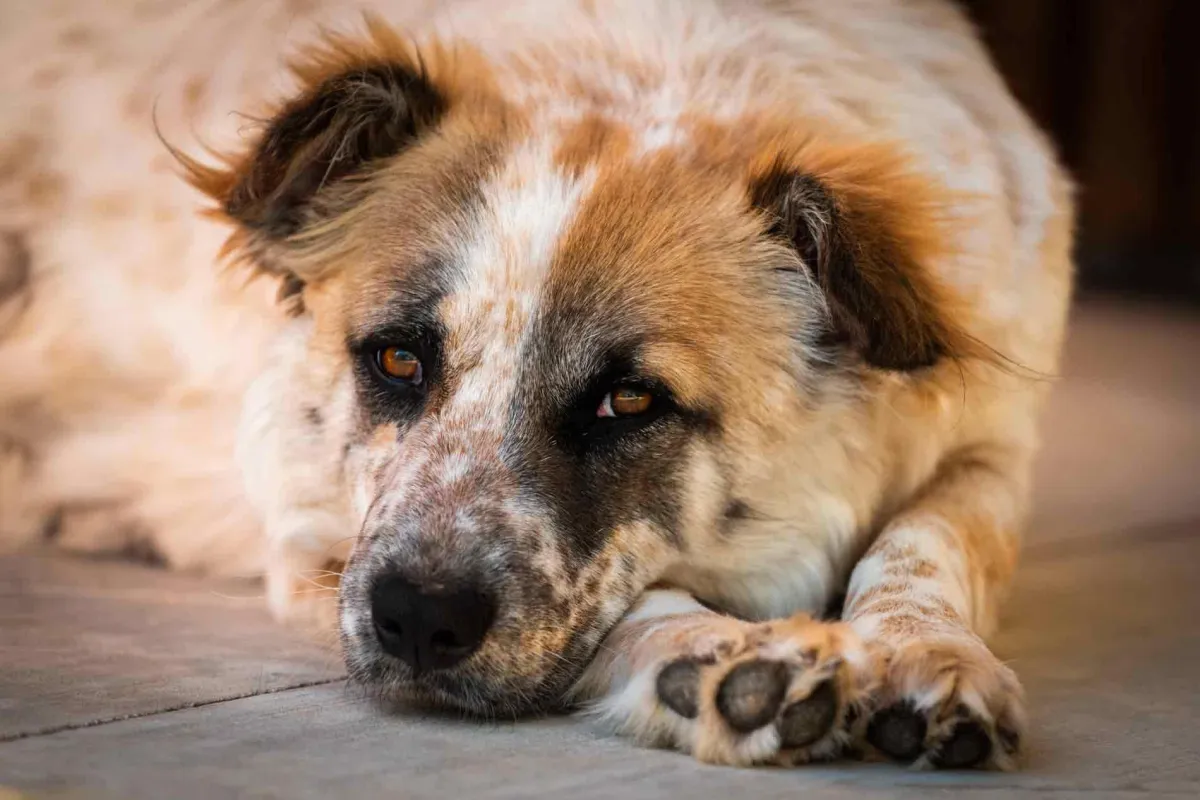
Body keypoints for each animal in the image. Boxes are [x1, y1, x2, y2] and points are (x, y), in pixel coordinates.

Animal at [2, 0, 1070, 772]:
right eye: (397, 358)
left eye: (629, 401)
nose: (418, 622)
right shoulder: (315, 540)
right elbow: (638, 605)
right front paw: (724, 660)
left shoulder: (997, 443)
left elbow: (928, 537)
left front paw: (930, 653)